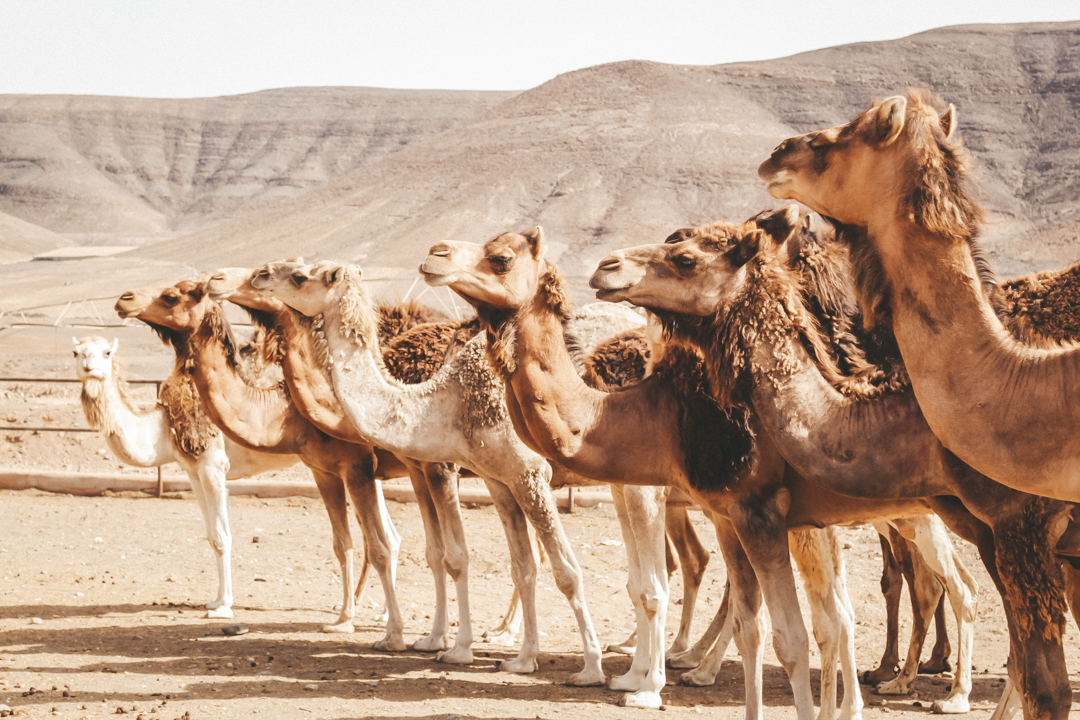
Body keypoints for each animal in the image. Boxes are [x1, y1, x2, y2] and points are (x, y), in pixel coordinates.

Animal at [73, 335, 300, 619]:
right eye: (76, 353)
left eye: (107, 352)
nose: (89, 368)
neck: (164, 425)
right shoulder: (192, 470)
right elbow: (212, 536)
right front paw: (215, 601)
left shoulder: (213, 465)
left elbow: (222, 536)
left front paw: (224, 607)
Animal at [113, 284, 409, 644]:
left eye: (171, 295)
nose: (125, 299)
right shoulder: (322, 469)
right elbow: (342, 543)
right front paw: (343, 619)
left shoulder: (354, 466)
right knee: (389, 536)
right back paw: (381, 613)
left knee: (388, 539)